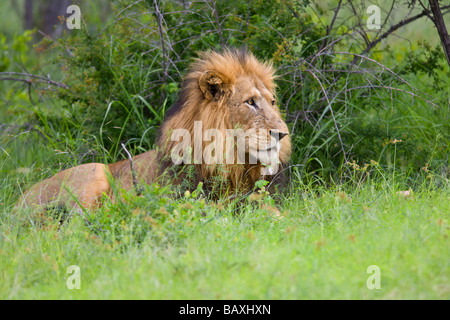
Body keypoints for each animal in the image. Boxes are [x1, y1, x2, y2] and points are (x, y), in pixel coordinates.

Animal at [15, 48, 290, 212]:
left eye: (273, 102)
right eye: (250, 102)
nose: (282, 134)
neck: (235, 164)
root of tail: (15, 206)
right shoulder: (192, 199)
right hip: (93, 174)